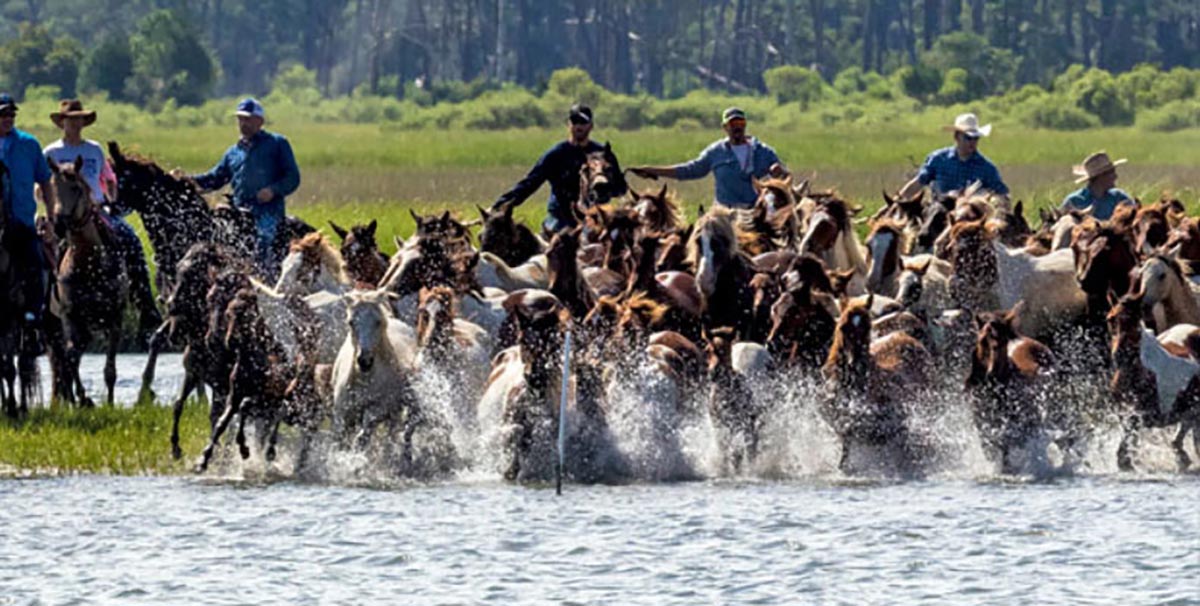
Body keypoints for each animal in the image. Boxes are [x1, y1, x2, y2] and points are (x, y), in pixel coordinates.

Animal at [50, 156, 129, 403]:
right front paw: (84, 399)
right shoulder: (69, 315)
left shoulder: (115, 318)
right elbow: (71, 356)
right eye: (54, 186)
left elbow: (110, 369)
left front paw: (109, 403)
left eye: (75, 188)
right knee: (65, 360)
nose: (58, 224)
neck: (89, 264)